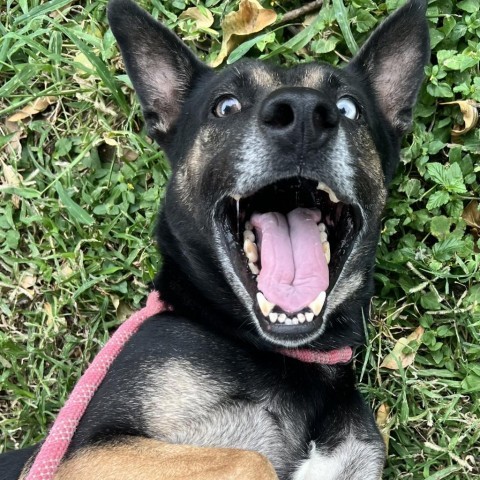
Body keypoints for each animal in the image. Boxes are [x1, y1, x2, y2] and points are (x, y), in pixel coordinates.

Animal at [1, 1, 430, 478]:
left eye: (349, 107)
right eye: (225, 106)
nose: (303, 113)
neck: (284, 356)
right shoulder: (84, 457)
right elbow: (251, 459)